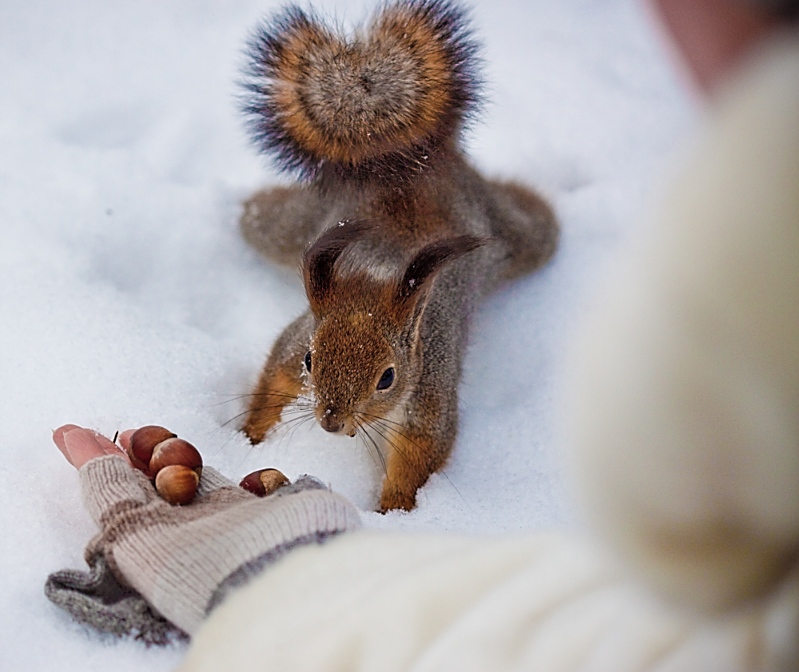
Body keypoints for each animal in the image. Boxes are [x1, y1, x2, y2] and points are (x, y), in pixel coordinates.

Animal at [241, 0, 560, 512]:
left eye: (388, 378)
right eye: (311, 359)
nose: (330, 421)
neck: (378, 275)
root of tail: (407, 157)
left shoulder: (430, 390)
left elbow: (420, 454)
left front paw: (392, 513)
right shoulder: (295, 340)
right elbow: (273, 378)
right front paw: (248, 438)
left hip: (520, 237)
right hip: (288, 224)